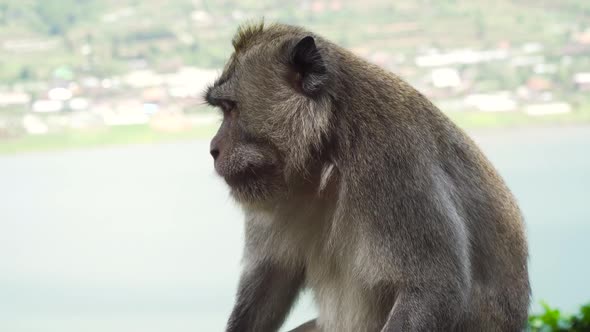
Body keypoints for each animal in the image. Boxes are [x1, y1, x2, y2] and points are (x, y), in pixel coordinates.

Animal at [207, 22, 532, 330]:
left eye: (231, 109)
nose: (213, 148)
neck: (327, 149)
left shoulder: (394, 161)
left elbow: (434, 288)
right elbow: (271, 279)